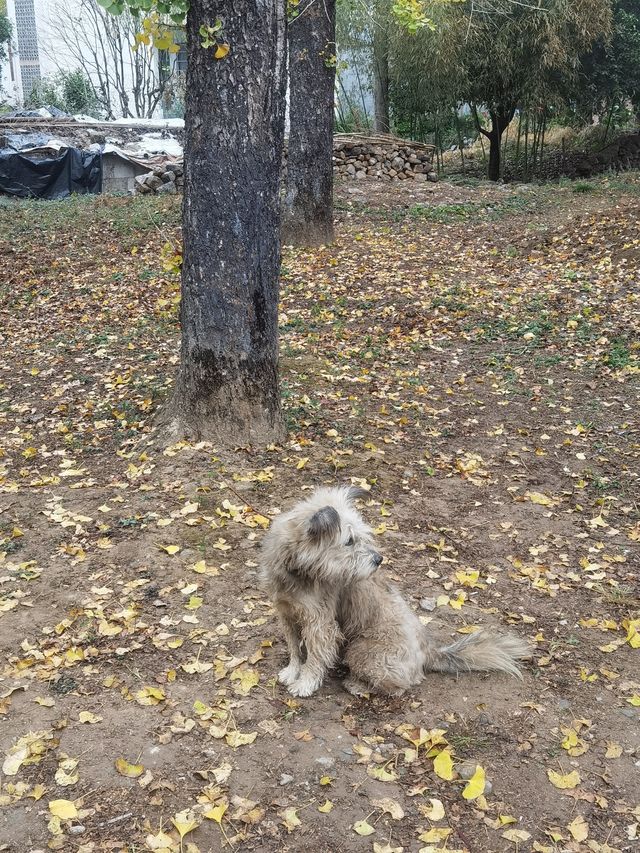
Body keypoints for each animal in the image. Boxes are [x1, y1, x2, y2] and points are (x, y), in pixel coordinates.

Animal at [260, 486, 528, 700]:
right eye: (349, 541)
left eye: (360, 536)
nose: (378, 559)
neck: (297, 573)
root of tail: (430, 651)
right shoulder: (287, 615)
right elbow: (295, 649)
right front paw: (293, 671)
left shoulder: (320, 626)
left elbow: (314, 658)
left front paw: (305, 683)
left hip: (363, 651)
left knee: (399, 687)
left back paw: (358, 686)